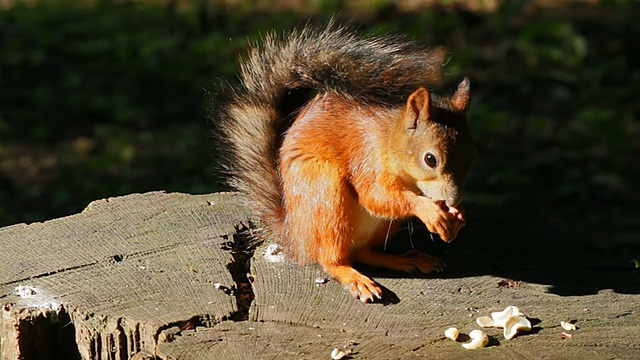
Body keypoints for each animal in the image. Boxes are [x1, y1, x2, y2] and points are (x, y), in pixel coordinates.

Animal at [220, 22, 476, 302]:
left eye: (471, 156)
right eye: (430, 159)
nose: (453, 199)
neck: (389, 142)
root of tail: (294, 236)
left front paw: (457, 214)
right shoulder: (366, 159)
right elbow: (376, 196)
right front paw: (429, 210)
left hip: (380, 225)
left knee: (363, 252)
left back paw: (406, 260)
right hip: (326, 192)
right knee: (331, 259)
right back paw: (355, 278)